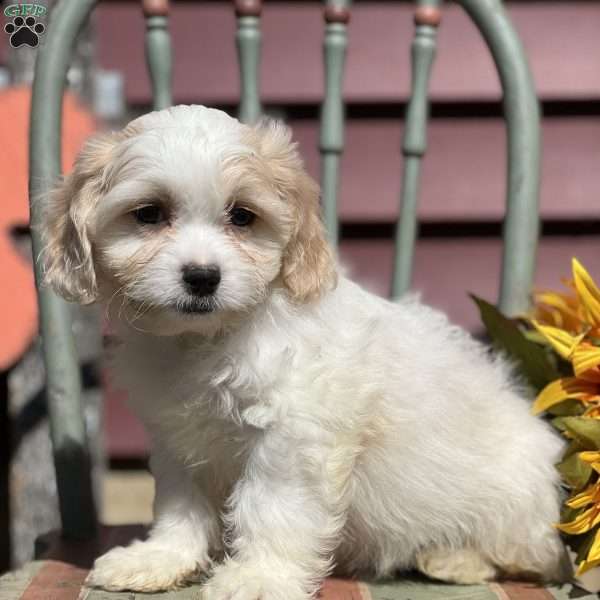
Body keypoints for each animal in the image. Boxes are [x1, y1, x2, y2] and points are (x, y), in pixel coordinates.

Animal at [41, 105, 568, 596]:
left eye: (242, 216)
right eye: (149, 213)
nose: (203, 277)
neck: (211, 337)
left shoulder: (293, 434)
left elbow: (270, 505)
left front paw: (258, 577)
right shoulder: (178, 438)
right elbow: (179, 503)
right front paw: (160, 559)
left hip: (515, 499)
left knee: (524, 557)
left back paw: (452, 558)